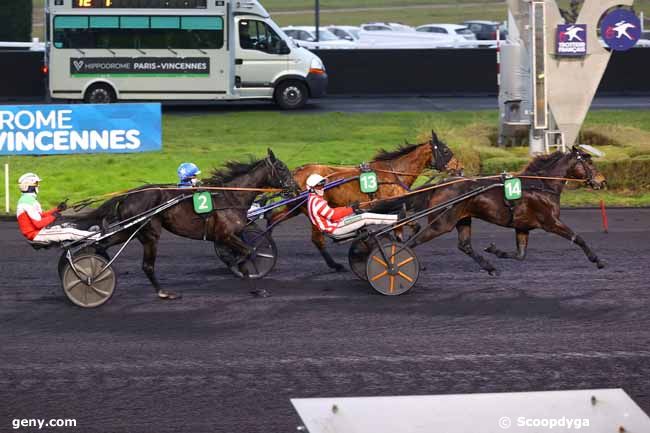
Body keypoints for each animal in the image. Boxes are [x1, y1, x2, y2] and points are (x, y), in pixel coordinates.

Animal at [268, 130, 460, 270]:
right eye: (445, 151)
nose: (460, 169)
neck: (394, 174)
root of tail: (296, 172)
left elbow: (402, 231)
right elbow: (407, 227)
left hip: (294, 207)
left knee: (273, 218)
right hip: (308, 210)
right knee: (316, 239)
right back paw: (334, 265)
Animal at [370, 145, 608, 274]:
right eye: (589, 163)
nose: (602, 181)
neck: (540, 185)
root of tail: (441, 185)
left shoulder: (523, 226)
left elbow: (520, 255)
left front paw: (495, 250)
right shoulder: (550, 222)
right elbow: (578, 237)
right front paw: (598, 260)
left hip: (462, 218)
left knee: (464, 245)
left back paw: (490, 267)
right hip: (441, 223)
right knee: (410, 242)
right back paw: (394, 264)